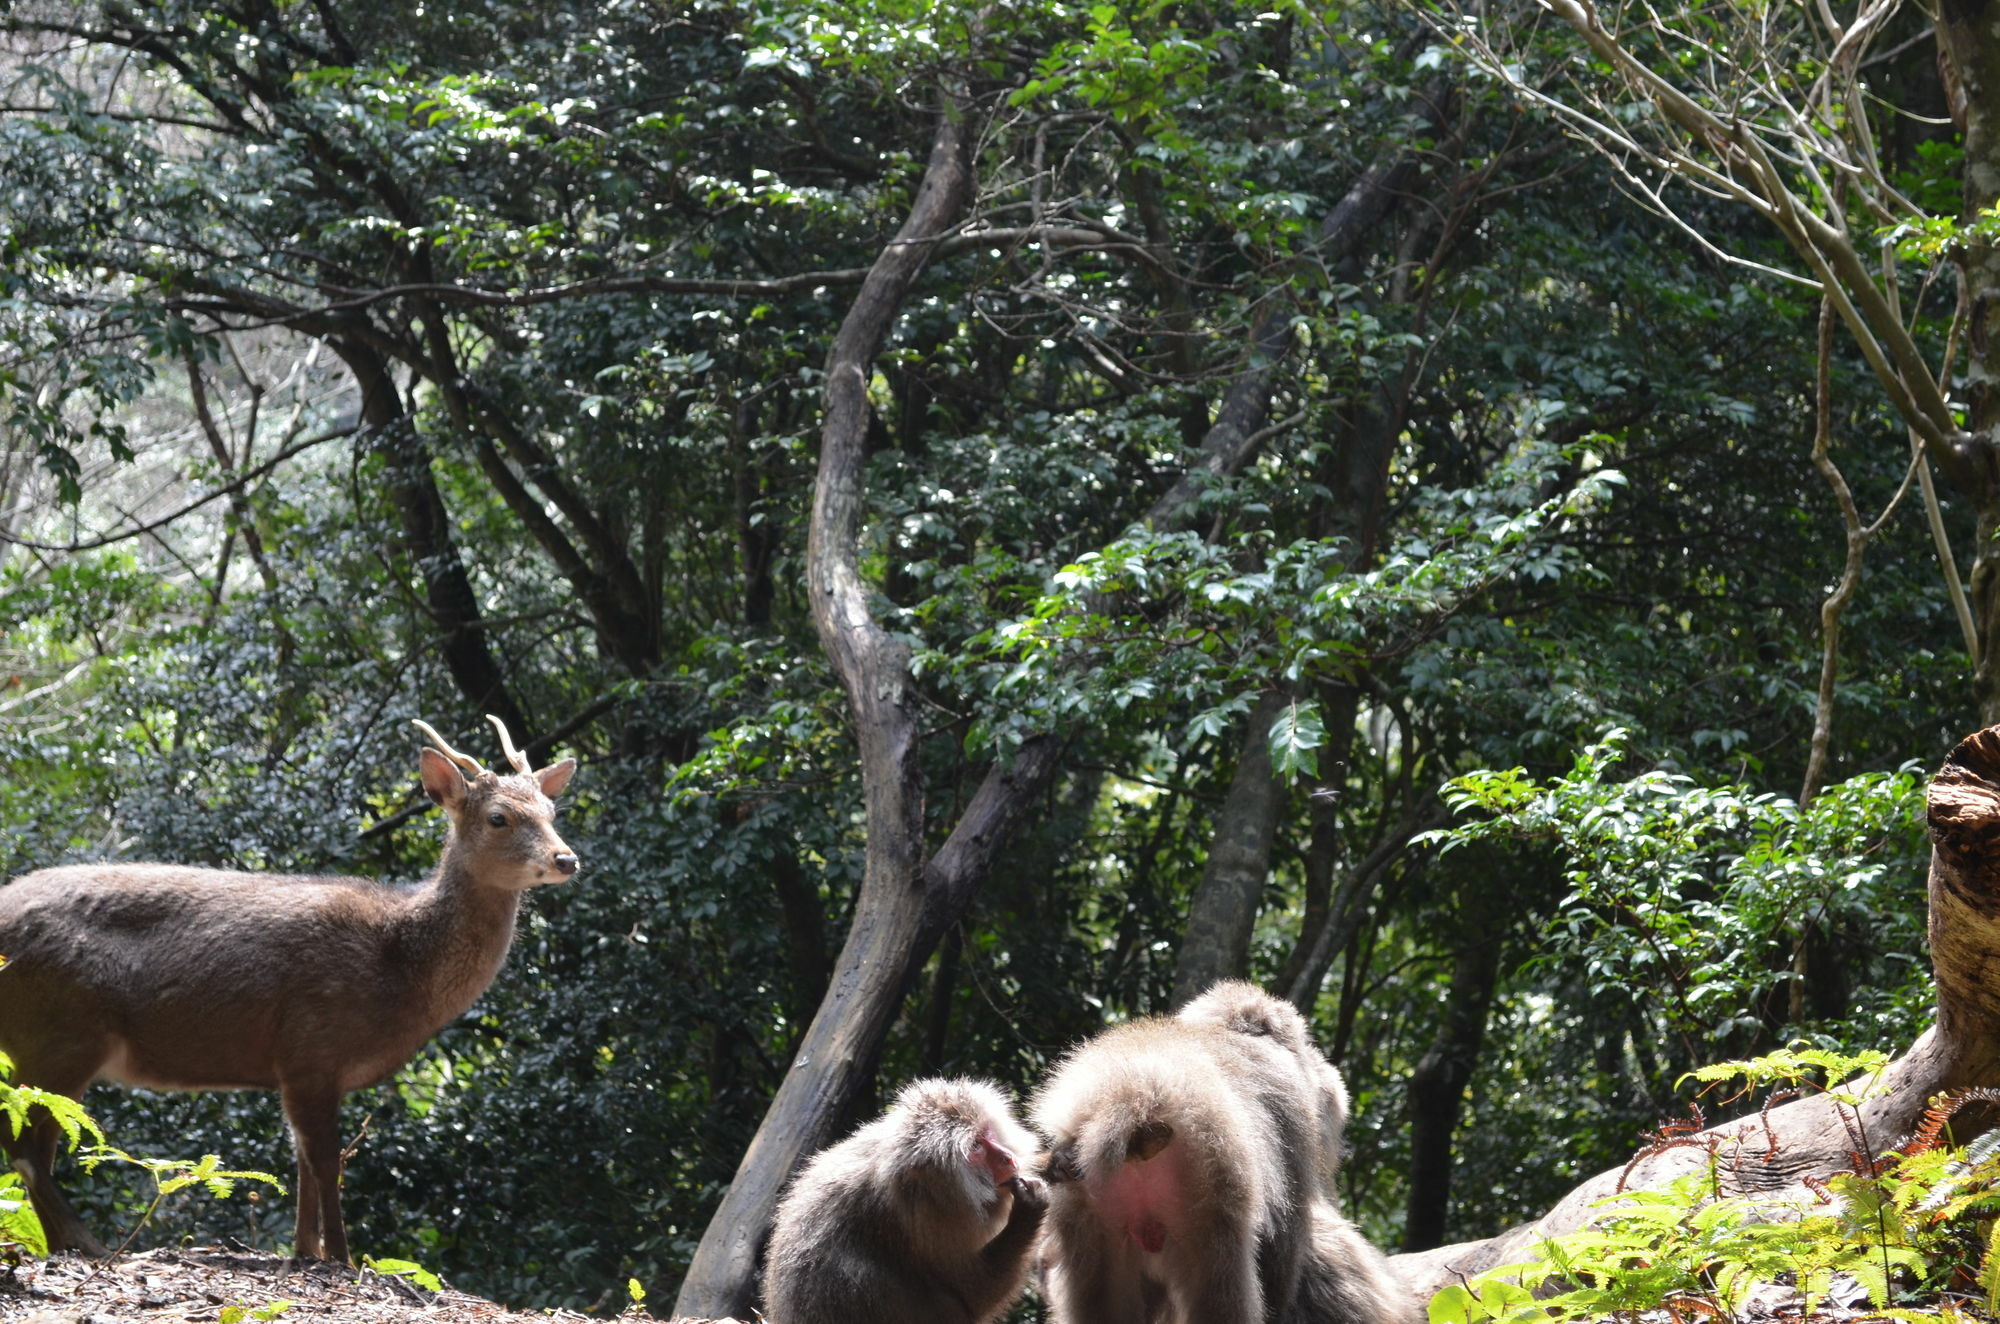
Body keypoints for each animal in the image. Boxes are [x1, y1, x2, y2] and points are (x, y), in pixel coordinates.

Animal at [0, 720, 580, 1264]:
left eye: (551, 810)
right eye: (498, 817)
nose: (567, 859)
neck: (397, 968)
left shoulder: (299, 1066)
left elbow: (301, 1160)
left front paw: (305, 1251)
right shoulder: (312, 1044)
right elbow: (326, 1162)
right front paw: (343, 1258)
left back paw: (63, 1245)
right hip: (61, 1029)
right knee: (26, 1147)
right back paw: (87, 1243)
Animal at [760, 1080, 1048, 1324]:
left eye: (987, 1133)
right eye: (976, 1147)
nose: (1007, 1157)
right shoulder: (933, 1224)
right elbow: (974, 1295)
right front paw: (1028, 1208)